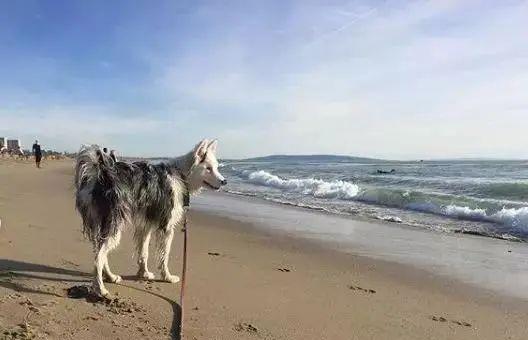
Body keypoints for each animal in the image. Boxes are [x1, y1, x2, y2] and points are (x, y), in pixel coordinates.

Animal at [73, 139, 226, 296]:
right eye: (208, 168)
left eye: (216, 167)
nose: (224, 181)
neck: (180, 175)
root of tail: (99, 175)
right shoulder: (166, 227)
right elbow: (165, 255)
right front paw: (167, 277)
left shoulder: (145, 226)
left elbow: (143, 252)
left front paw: (144, 274)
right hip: (113, 223)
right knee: (98, 257)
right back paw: (100, 288)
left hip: (100, 223)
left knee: (99, 252)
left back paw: (110, 276)